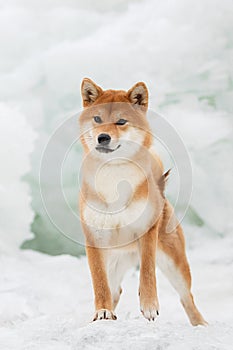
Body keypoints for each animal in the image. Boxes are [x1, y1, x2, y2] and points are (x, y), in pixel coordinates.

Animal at [79, 78, 207, 326]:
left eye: (121, 121)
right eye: (97, 119)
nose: (103, 137)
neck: (114, 179)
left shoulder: (147, 230)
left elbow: (147, 271)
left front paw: (149, 306)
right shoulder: (94, 239)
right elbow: (99, 283)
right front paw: (102, 312)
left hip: (175, 264)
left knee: (187, 298)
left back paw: (201, 326)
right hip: (114, 260)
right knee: (115, 289)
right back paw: (109, 314)